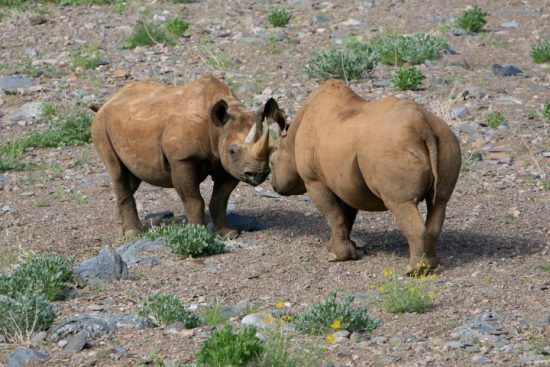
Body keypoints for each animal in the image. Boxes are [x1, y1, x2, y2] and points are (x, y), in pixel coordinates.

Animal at [91, 76, 284, 240]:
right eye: (232, 151)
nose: (258, 174)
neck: (216, 129)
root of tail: (108, 101)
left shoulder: (229, 166)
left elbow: (220, 199)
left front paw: (228, 234)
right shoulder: (182, 160)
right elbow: (194, 200)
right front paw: (200, 234)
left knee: (132, 177)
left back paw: (123, 230)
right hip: (100, 125)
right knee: (117, 171)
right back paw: (133, 233)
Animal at [270, 80, 464, 274]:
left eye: (271, 163)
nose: (273, 185)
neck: (290, 141)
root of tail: (423, 125)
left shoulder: (314, 181)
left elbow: (333, 214)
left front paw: (336, 257)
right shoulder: (346, 183)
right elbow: (345, 217)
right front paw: (339, 250)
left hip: (392, 146)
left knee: (402, 203)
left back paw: (414, 271)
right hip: (447, 140)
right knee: (439, 202)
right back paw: (432, 266)